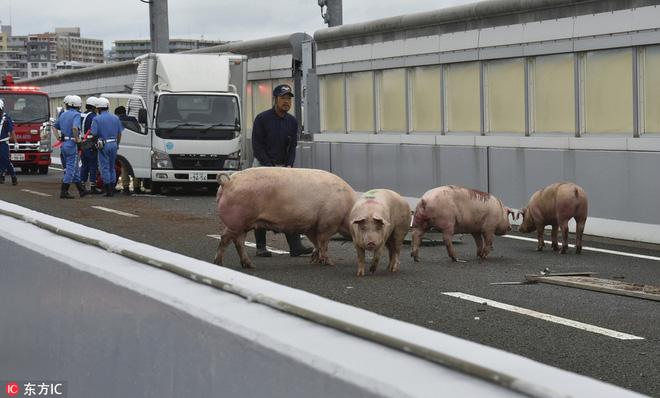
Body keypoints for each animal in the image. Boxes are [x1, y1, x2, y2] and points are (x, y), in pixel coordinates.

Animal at [214, 166, 358, 268]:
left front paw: (314, 259)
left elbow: (316, 243)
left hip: (242, 225)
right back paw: (219, 264)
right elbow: (323, 243)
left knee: (239, 242)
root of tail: (227, 184)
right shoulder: (328, 223)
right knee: (225, 239)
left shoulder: (312, 226)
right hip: (237, 221)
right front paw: (330, 263)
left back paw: (249, 266)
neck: (348, 207)